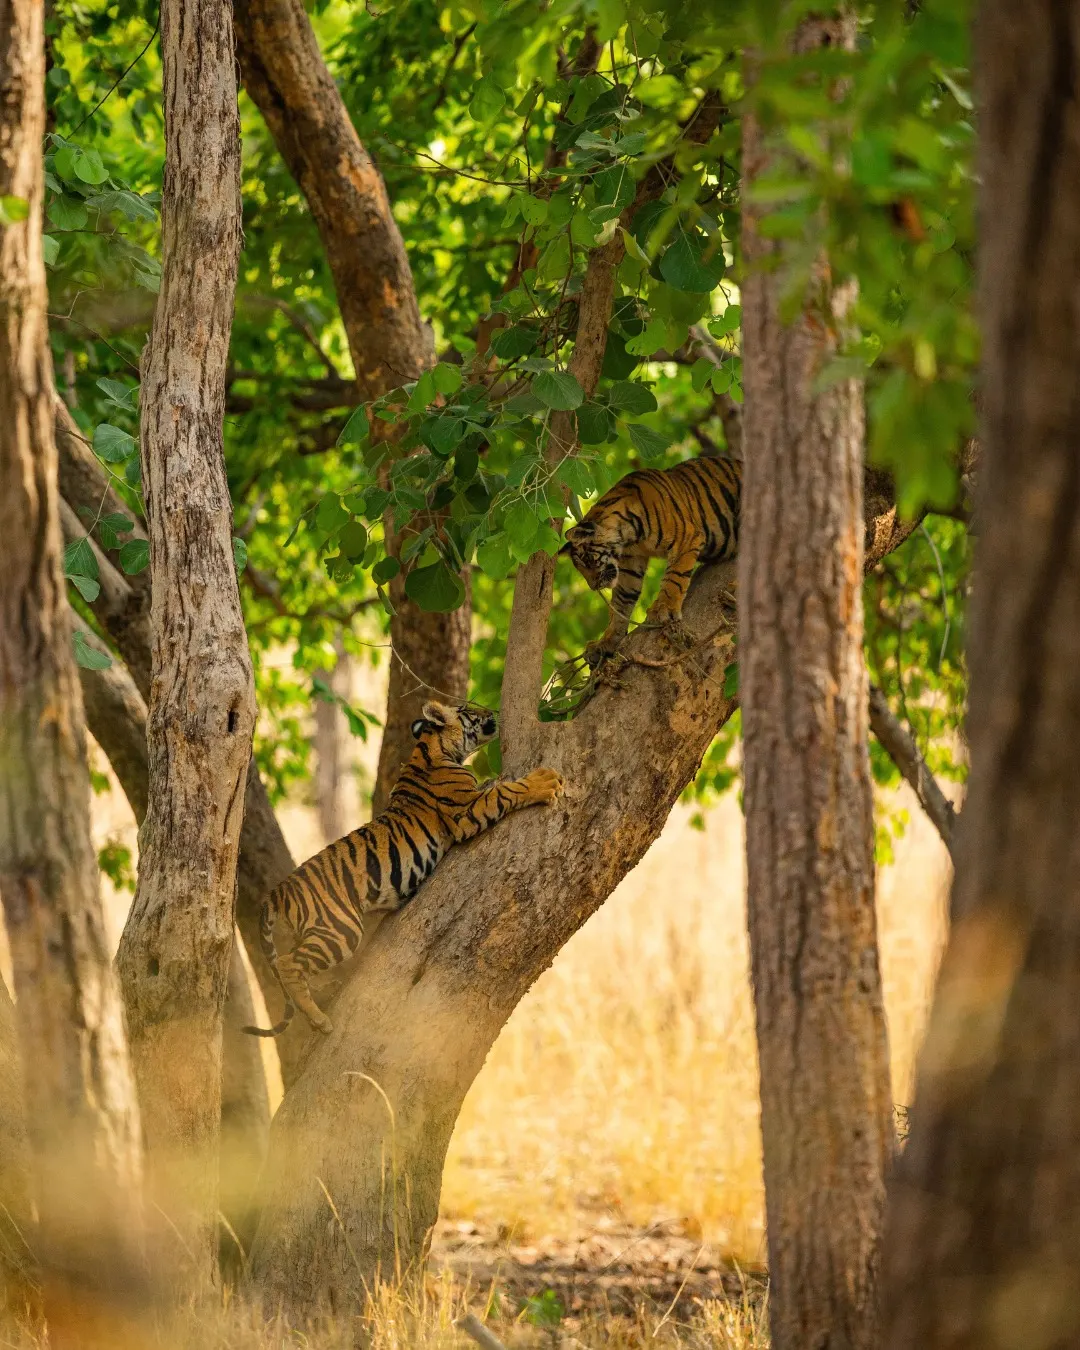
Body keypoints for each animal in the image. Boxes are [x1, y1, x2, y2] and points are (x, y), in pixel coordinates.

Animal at [243, 702, 564, 1037]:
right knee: (288, 965)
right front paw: (544, 781)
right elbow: (506, 791)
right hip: (339, 929)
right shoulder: (467, 812)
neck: (430, 747)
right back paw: (319, 1019)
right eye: (468, 708)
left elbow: (497, 785)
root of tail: (278, 890)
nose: (492, 712)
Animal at [560, 455, 742, 665]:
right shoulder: (630, 565)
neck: (629, 536)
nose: (593, 586)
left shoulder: (686, 538)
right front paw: (605, 643)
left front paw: (663, 610)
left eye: (586, 560)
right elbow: (621, 604)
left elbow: (675, 578)